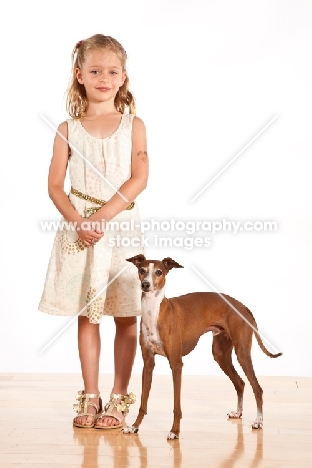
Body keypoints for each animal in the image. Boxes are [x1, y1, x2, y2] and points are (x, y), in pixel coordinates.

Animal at [122, 256, 282, 438]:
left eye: (159, 272)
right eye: (141, 270)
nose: (146, 285)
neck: (153, 312)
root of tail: (243, 307)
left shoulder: (176, 364)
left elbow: (177, 406)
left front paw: (174, 431)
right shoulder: (148, 364)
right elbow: (143, 402)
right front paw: (134, 426)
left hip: (242, 354)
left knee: (257, 388)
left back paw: (259, 421)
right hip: (220, 354)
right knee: (240, 383)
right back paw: (238, 413)